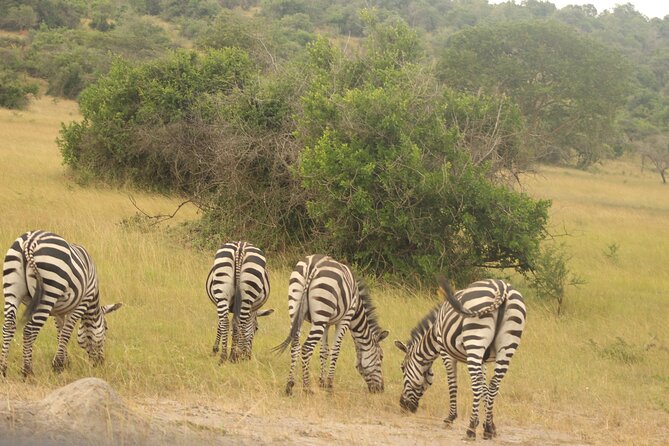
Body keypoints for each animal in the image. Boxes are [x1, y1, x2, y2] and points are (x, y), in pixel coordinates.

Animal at [0, 232, 122, 378]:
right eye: (106, 329)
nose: (100, 363)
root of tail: (31, 241)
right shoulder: (82, 301)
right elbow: (66, 332)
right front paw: (58, 365)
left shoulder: (58, 311)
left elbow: (60, 332)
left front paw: (64, 362)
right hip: (49, 290)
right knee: (30, 330)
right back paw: (27, 372)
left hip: (12, 290)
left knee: (8, 326)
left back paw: (3, 370)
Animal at [272, 256, 386, 396]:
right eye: (381, 357)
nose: (381, 389)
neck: (357, 308)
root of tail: (312, 266)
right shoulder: (345, 319)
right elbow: (335, 351)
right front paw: (330, 385)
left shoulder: (326, 324)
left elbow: (324, 351)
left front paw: (322, 382)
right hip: (321, 311)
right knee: (307, 348)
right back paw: (306, 387)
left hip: (296, 308)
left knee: (295, 345)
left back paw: (289, 386)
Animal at [394, 278, 524, 440]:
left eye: (402, 367)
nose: (402, 406)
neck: (435, 332)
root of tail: (502, 287)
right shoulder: (483, 360)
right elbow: (485, 388)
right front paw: (490, 425)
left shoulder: (445, 352)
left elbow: (453, 384)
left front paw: (451, 418)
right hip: (507, 346)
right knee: (494, 384)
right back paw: (487, 430)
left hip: (475, 339)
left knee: (476, 384)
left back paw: (470, 430)